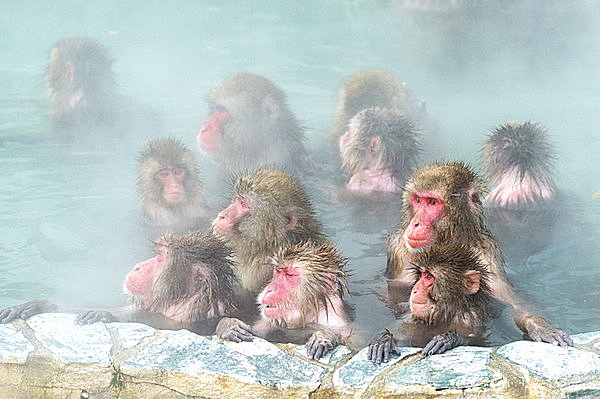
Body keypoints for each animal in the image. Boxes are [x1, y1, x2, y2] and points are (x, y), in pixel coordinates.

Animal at [218, 242, 354, 360]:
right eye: (278, 271)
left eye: (289, 275)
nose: (269, 289)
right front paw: (229, 325)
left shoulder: (336, 320)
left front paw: (324, 336)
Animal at [386, 162, 576, 346]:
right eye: (418, 200)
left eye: (432, 202)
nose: (415, 223)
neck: (446, 239)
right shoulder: (398, 247)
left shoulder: (488, 254)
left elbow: (512, 303)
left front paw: (540, 326)